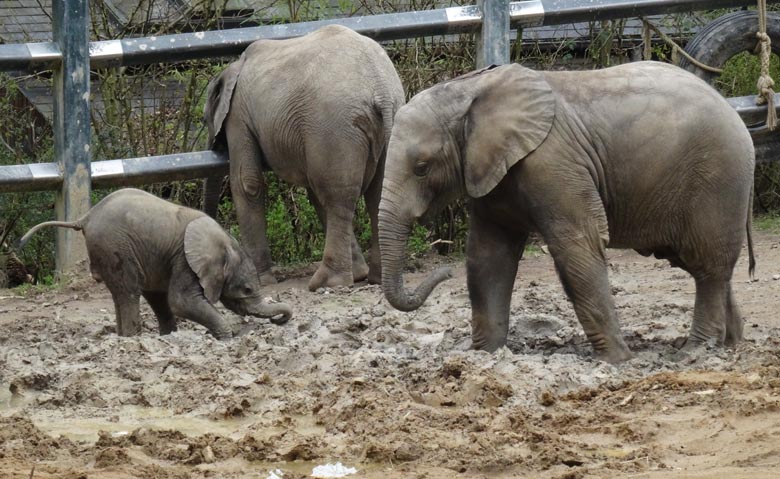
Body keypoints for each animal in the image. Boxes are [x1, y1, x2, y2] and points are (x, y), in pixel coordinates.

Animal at [18, 189, 292, 340]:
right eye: (247, 290)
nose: (280, 321)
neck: (225, 242)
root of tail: (85, 217)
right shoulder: (184, 260)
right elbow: (181, 302)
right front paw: (226, 339)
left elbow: (162, 298)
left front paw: (170, 337)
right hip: (114, 246)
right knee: (129, 291)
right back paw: (132, 339)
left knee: (126, 294)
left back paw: (125, 338)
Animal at [378, 62, 756, 364]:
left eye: (422, 168)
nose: (442, 271)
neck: (469, 90)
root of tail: (733, 110)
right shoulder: (492, 173)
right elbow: (488, 257)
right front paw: (485, 356)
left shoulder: (553, 164)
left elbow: (577, 247)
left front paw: (617, 361)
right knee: (702, 266)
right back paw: (731, 344)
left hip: (717, 178)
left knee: (707, 265)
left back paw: (696, 352)